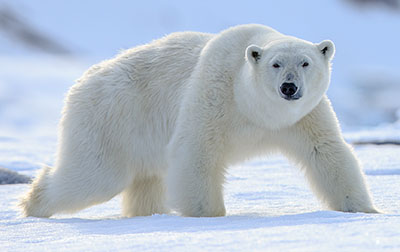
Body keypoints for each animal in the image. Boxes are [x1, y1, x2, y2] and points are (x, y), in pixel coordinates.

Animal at [19, 23, 378, 218]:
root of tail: (81, 82)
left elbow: (327, 152)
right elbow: (196, 152)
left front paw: (365, 211)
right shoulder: (214, 94)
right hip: (111, 119)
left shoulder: (303, 117)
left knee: (145, 181)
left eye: (305, 62)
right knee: (94, 175)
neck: (254, 109)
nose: (289, 87)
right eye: (276, 64)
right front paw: (209, 216)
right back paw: (32, 204)